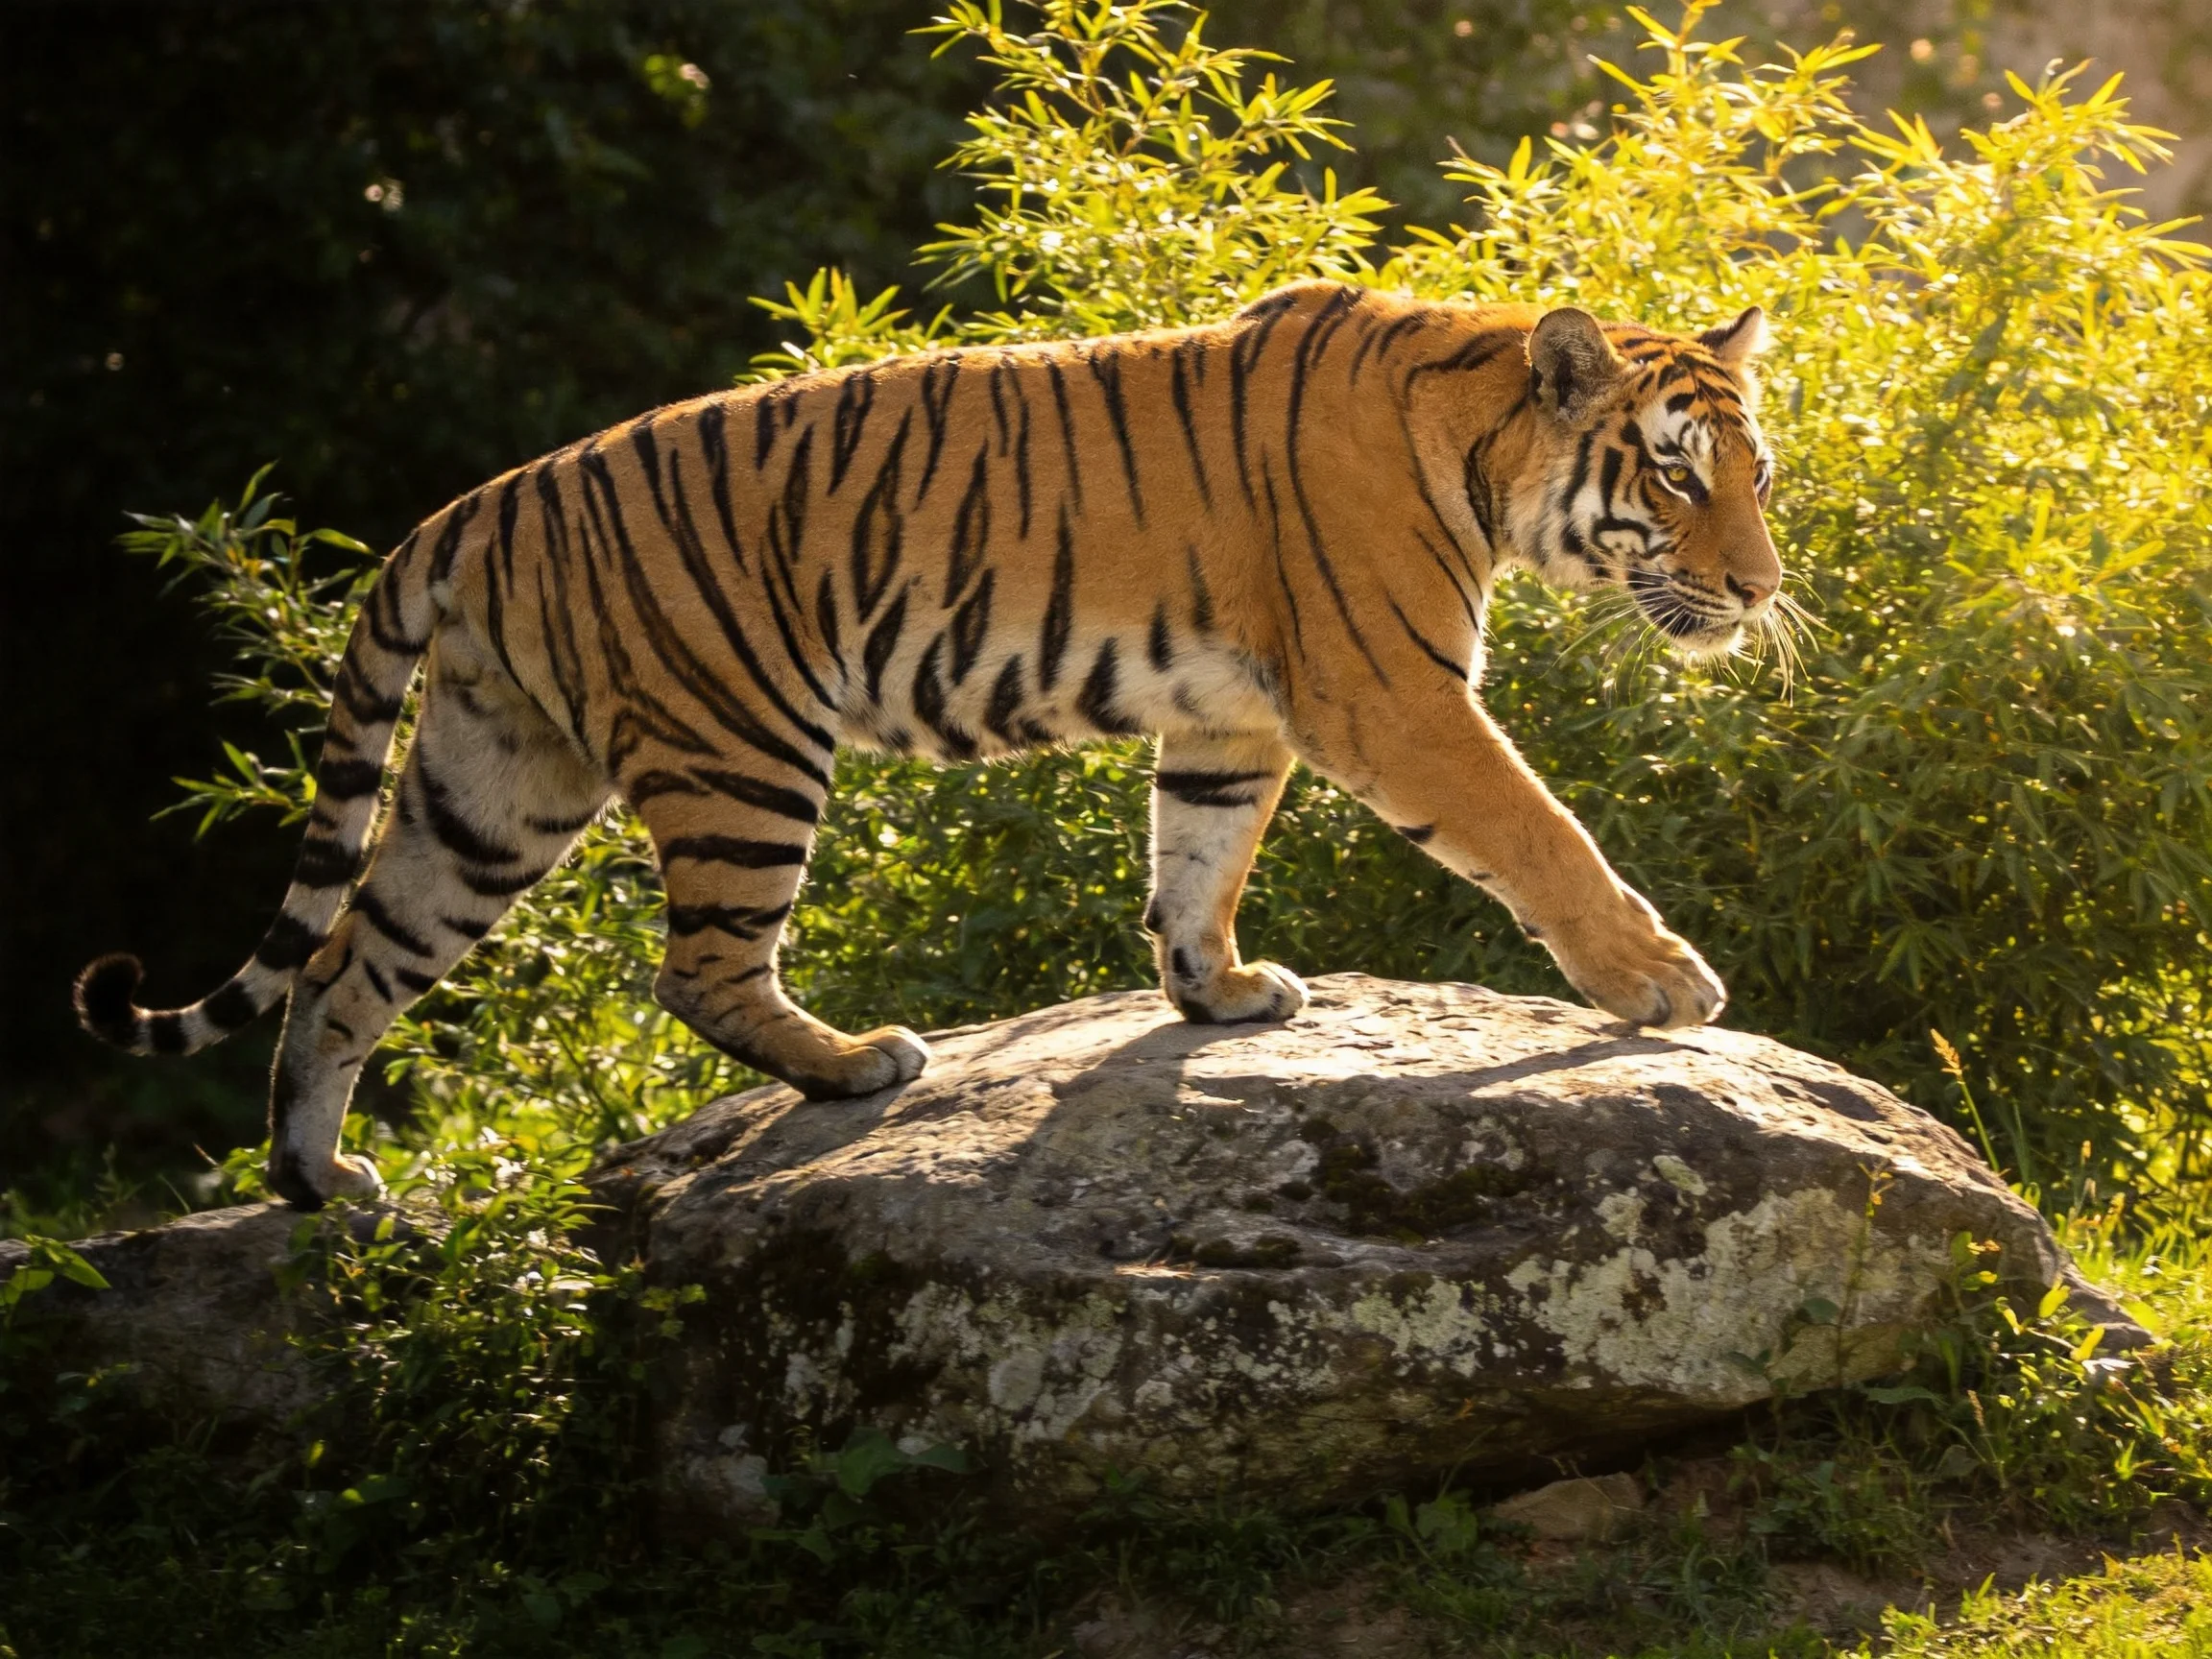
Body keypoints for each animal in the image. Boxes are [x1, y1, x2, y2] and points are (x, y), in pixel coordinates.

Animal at [75, 280, 1783, 1210]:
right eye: (1679, 477)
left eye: (1756, 475)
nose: (1765, 591)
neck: (1485, 453)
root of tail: (475, 504)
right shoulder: (1395, 696)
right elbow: (1545, 834)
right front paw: (1663, 985)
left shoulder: (1230, 716)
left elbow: (1197, 858)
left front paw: (1217, 994)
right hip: (743, 747)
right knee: (695, 968)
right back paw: (854, 1066)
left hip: (495, 786)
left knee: (344, 960)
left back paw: (320, 1185)